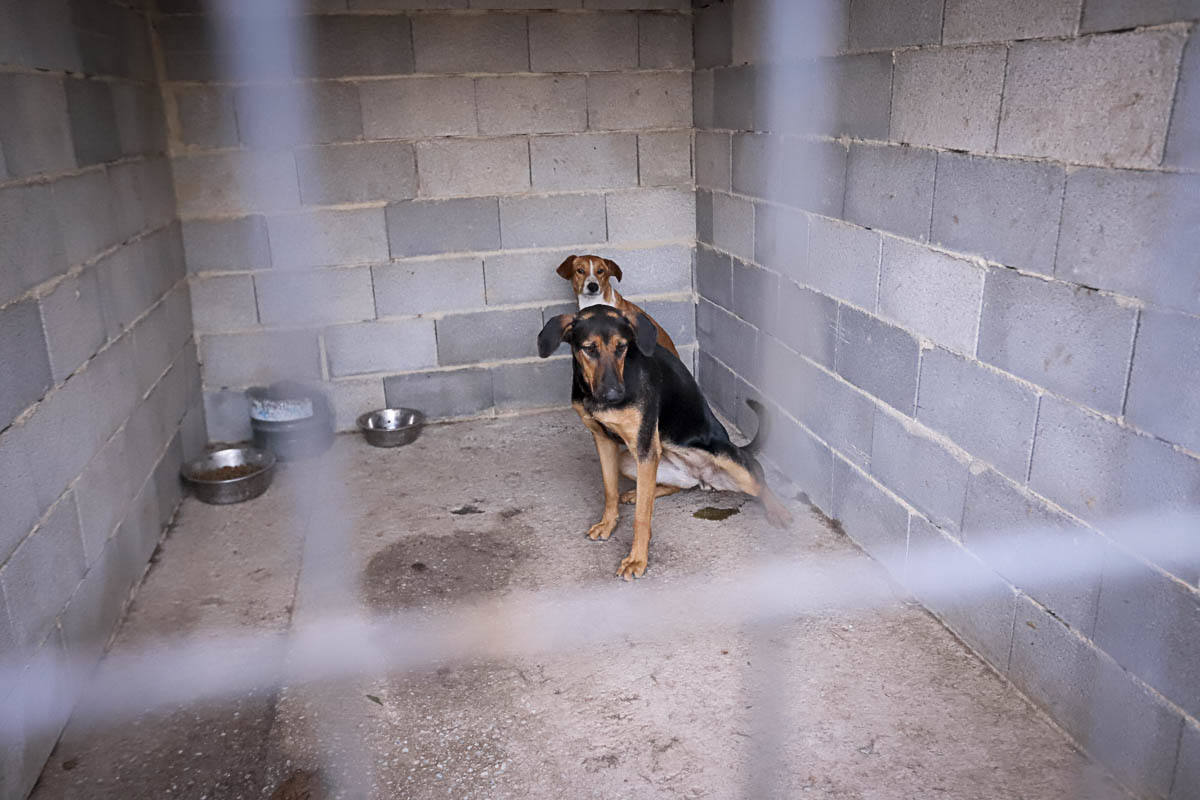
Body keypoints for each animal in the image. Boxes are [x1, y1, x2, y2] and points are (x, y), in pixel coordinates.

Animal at [540, 303, 792, 578]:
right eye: (589, 349)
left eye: (622, 346)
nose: (613, 395)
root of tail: (702, 478)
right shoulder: (603, 440)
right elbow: (610, 491)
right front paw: (608, 523)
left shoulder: (644, 448)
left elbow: (642, 516)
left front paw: (637, 559)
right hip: (631, 462)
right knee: (674, 487)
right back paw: (635, 494)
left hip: (729, 460)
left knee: (759, 481)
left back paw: (778, 510)